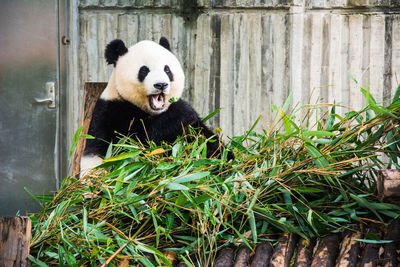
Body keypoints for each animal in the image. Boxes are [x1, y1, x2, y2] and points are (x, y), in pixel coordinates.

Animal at [80, 37, 233, 176]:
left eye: (167, 70)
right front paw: (182, 112)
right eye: (144, 70)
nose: (161, 85)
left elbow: (205, 140)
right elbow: (138, 146)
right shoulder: (114, 115)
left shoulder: (191, 130)